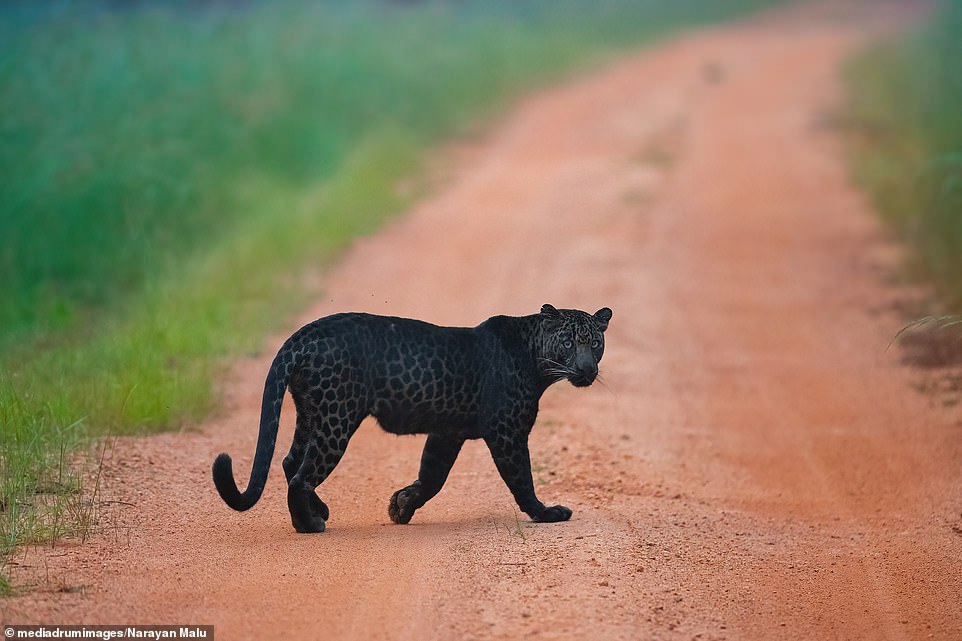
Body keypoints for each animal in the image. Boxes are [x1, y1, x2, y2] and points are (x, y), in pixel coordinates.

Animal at [213, 302, 612, 532]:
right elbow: (522, 481)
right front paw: (546, 513)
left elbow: (432, 475)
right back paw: (309, 524)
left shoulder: (447, 433)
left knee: (290, 461)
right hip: (336, 418)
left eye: (595, 343)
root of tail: (301, 335)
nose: (586, 369)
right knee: (301, 475)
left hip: (312, 413)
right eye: (569, 342)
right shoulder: (507, 433)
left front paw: (401, 505)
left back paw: (319, 510)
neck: (535, 358)